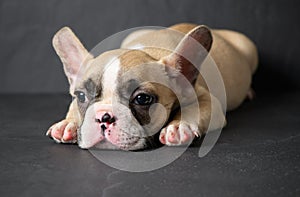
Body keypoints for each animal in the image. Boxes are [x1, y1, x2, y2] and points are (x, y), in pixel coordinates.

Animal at [46, 23, 258, 150]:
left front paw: (179, 126)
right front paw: (68, 124)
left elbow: (196, 109)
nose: (103, 117)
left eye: (142, 99)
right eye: (81, 96)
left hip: (250, 48)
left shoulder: (207, 99)